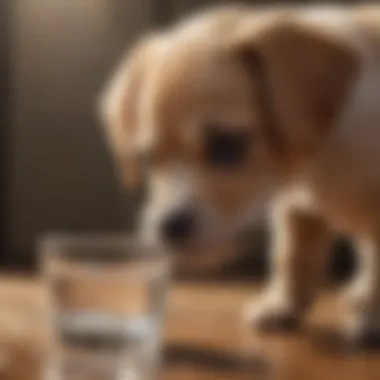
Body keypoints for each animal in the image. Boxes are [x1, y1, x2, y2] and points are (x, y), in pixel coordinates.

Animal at [99, 5, 380, 344]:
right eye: (147, 158)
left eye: (226, 145)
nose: (168, 226)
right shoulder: (294, 206)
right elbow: (293, 255)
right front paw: (281, 305)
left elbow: (376, 267)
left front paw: (371, 316)